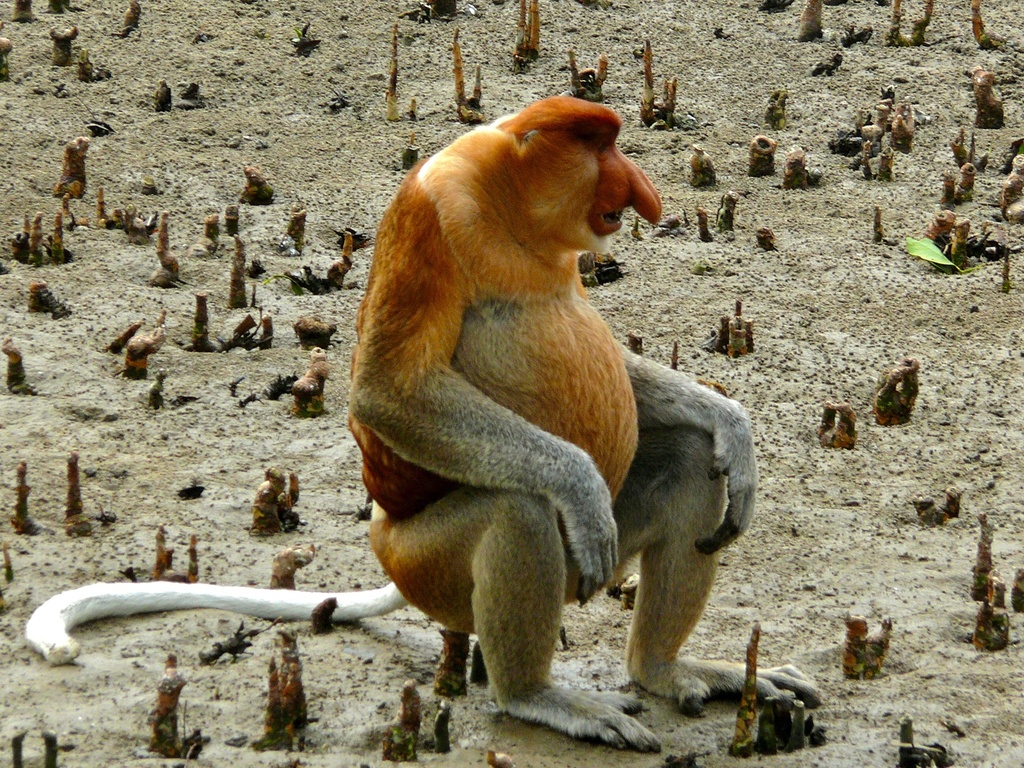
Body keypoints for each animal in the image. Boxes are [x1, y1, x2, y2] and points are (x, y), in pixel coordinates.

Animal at [26, 96, 819, 751]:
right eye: (600, 145)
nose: (640, 190)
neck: (510, 206)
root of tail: (386, 539)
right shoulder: (435, 215)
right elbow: (389, 391)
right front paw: (582, 490)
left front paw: (732, 425)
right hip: (429, 563)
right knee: (520, 513)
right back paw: (539, 695)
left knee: (687, 463)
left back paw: (667, 668)